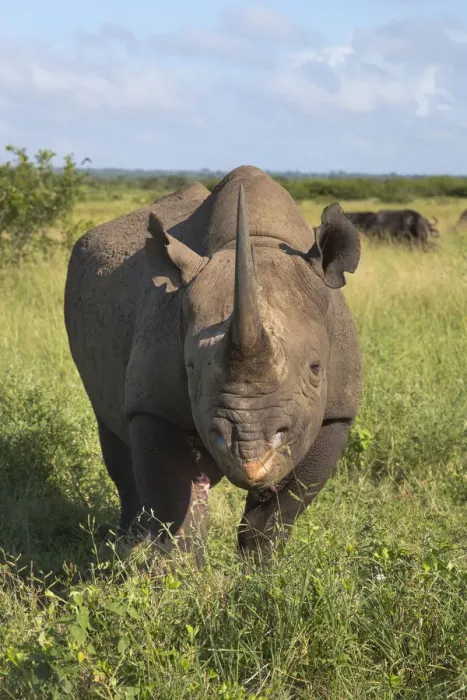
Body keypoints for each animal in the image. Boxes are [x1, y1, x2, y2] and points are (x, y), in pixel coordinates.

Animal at [64, 166, 362, 560]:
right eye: (189, 368)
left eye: (316, 368)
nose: (248, 450)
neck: (256, 241)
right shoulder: (154, 406)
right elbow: (175, 504)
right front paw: (178, 568)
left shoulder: (336, 413)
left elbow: (282, 507)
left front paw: (262, 566)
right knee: (113, 436)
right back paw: (126, 541)